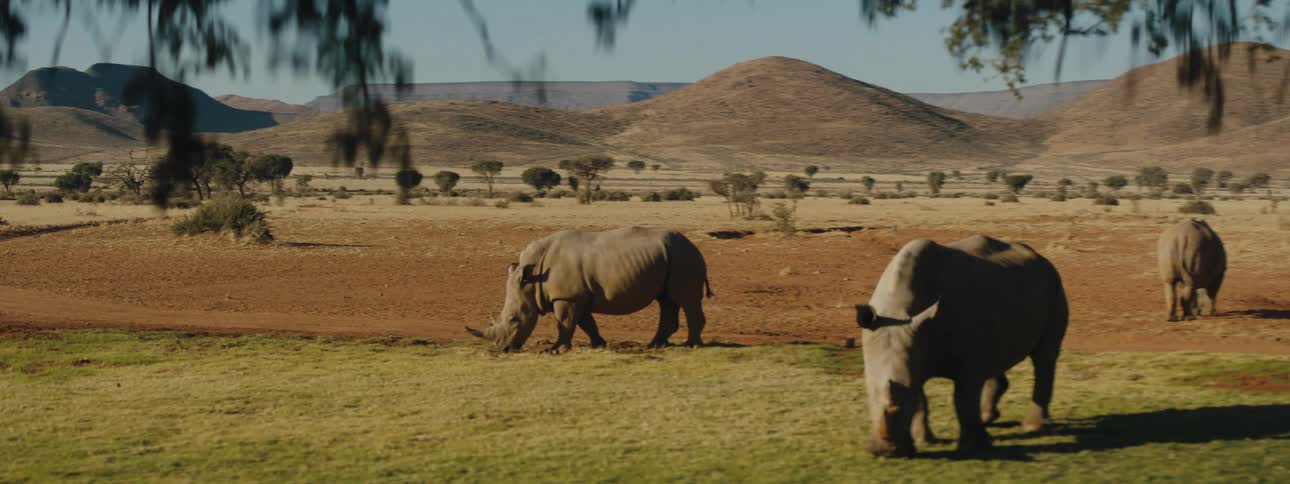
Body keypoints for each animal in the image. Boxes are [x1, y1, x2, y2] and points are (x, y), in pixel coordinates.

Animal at [466, 227, 712, 353]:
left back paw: (691, 346)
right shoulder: (577, 296)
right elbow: (586, 323)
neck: (533, 276)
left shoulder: (567, 296)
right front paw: (598, 345)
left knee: (686, 301)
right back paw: (656, 345)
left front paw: (555, 350)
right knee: (667, 301)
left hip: (683, 257)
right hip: (673, 257)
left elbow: (565, 322)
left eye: (514, 319)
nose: (502, 349)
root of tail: (695, 247)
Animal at [854, 235, 1068, 457]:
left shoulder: (964, 357)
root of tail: (1040, 257)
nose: (888, 452)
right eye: (868, 392)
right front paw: (925, 440)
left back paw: (1033, 426)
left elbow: (963, 398)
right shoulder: (915, 346)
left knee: (1044, 357)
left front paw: (975, 447)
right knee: (995, 354)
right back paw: (987, 417)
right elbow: (923, 399)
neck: (897, 310)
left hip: (1054, 285)